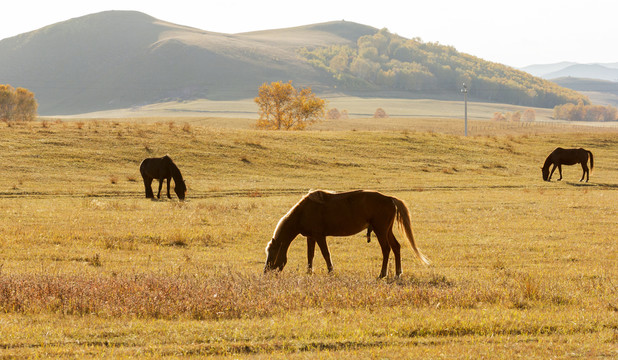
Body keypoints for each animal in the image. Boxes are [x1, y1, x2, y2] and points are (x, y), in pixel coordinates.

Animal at [264, 191, 428, 278]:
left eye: (272, 253)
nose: (266, 272)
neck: (303, 212)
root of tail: (390, 199)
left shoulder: (319, 236)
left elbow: (325, 254)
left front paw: (330, 271)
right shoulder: (311, 237)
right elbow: (310, 255)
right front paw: (309, 272)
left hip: (380, 230)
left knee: (386, 249)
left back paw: (382, 274)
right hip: (386, 230)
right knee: (396, 247)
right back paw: (398, 273)